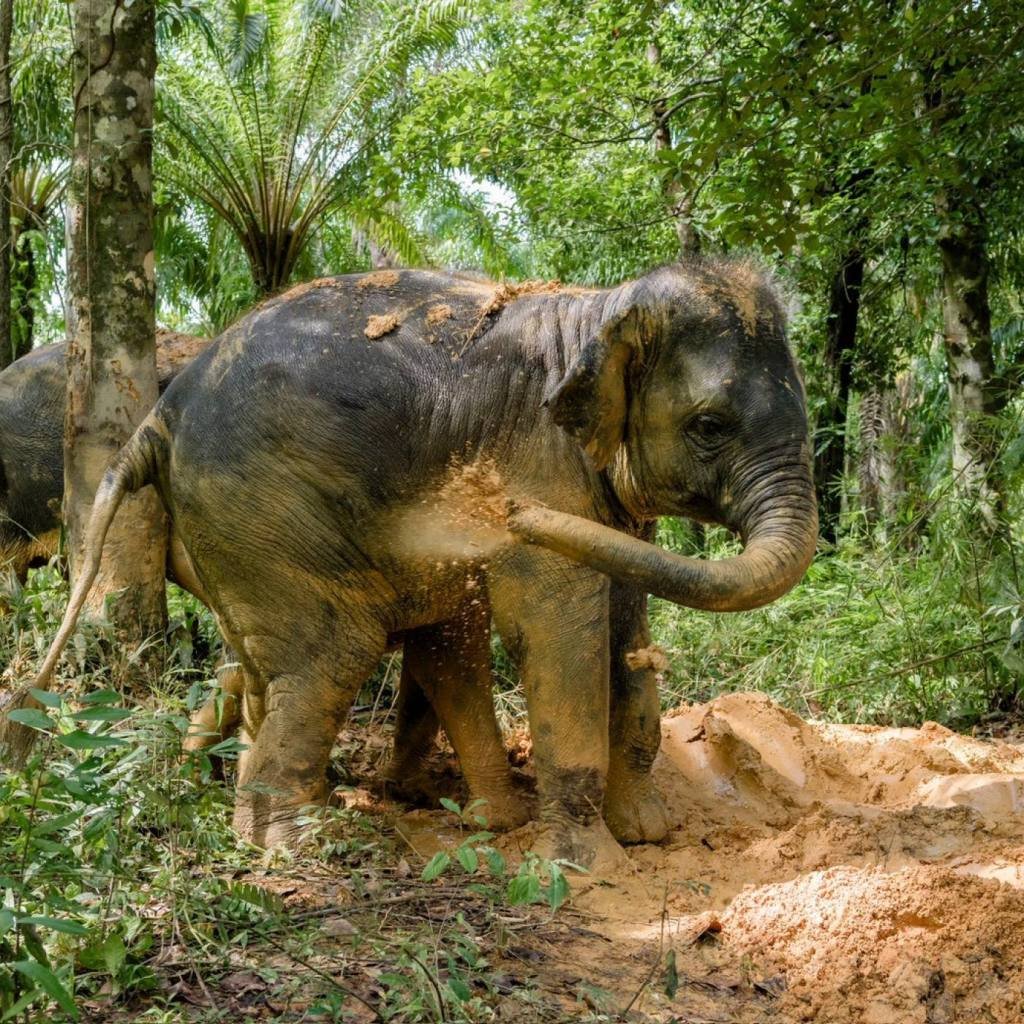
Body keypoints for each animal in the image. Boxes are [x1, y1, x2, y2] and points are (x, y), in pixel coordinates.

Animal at [24, 260, 817, 869]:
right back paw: (293, 853)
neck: (599, 307)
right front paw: (586, 867)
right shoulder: (540, 460)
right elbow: (555, 627)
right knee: (328, 655)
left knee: (265, 668)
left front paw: (647, 833)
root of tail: (159, 416)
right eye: (710, 427)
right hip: (257, 506)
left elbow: (625, 619)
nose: (501, 510)